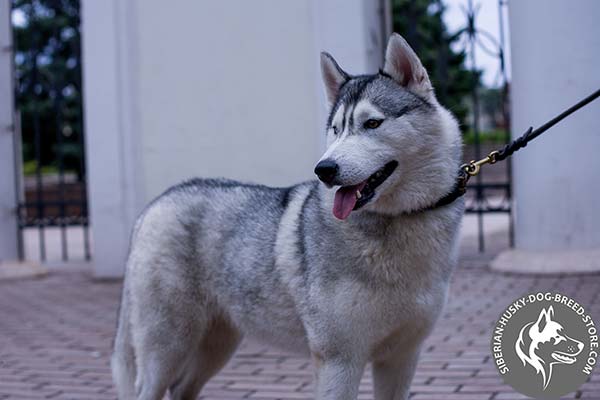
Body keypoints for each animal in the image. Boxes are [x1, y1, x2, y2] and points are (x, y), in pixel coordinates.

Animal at [113, 34, 468, 400]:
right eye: (336, 129)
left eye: (372, 123)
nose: (324, 169)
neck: (398, 221)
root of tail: (155, 203)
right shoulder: (339, 360)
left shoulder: (401, 357)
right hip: (167, 347)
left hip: (218, 343)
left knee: (182, 388)